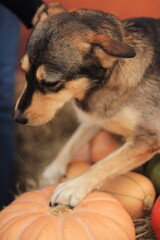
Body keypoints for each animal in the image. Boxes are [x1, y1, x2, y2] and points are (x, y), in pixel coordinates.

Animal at [14, 2, 160, 208]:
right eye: (24, 72)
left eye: (51, 83)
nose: (18, 118)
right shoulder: (95, 117)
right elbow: (71, 143)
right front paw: (52, 172)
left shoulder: (150, 138)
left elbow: (105, 163)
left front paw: (73, 187)